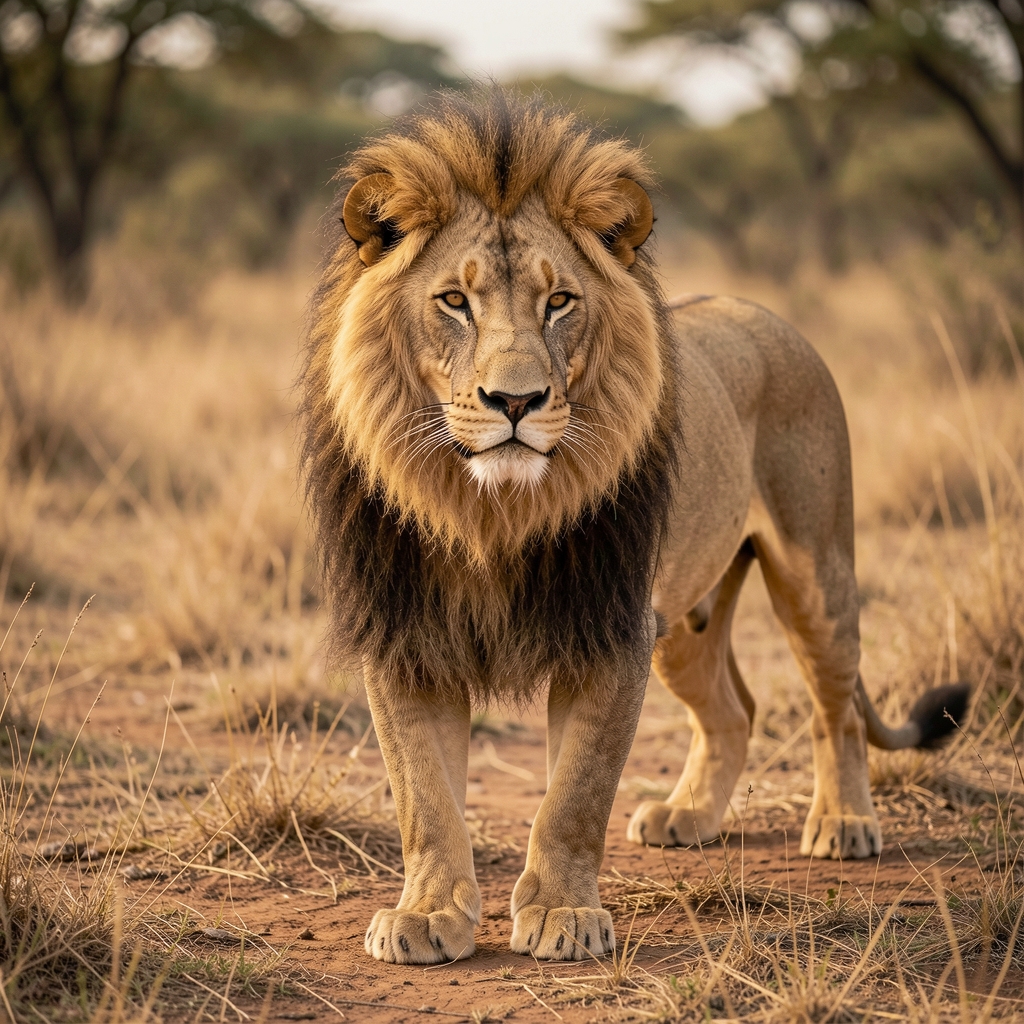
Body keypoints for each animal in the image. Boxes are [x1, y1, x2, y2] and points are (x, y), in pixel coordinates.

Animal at [300, 92, 969, 966]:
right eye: (454, 301)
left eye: (559, 302)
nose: (514, 401)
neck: (488, 512)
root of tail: (759, 310)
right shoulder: (406, 636)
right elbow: (424, 797)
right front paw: (428, 915)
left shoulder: (609, 629)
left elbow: (575, 794)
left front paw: (561, 914)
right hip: (682, 621)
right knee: (733, 712)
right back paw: (688, 817)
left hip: (814, 572)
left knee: (839, 709)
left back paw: (845, 823)